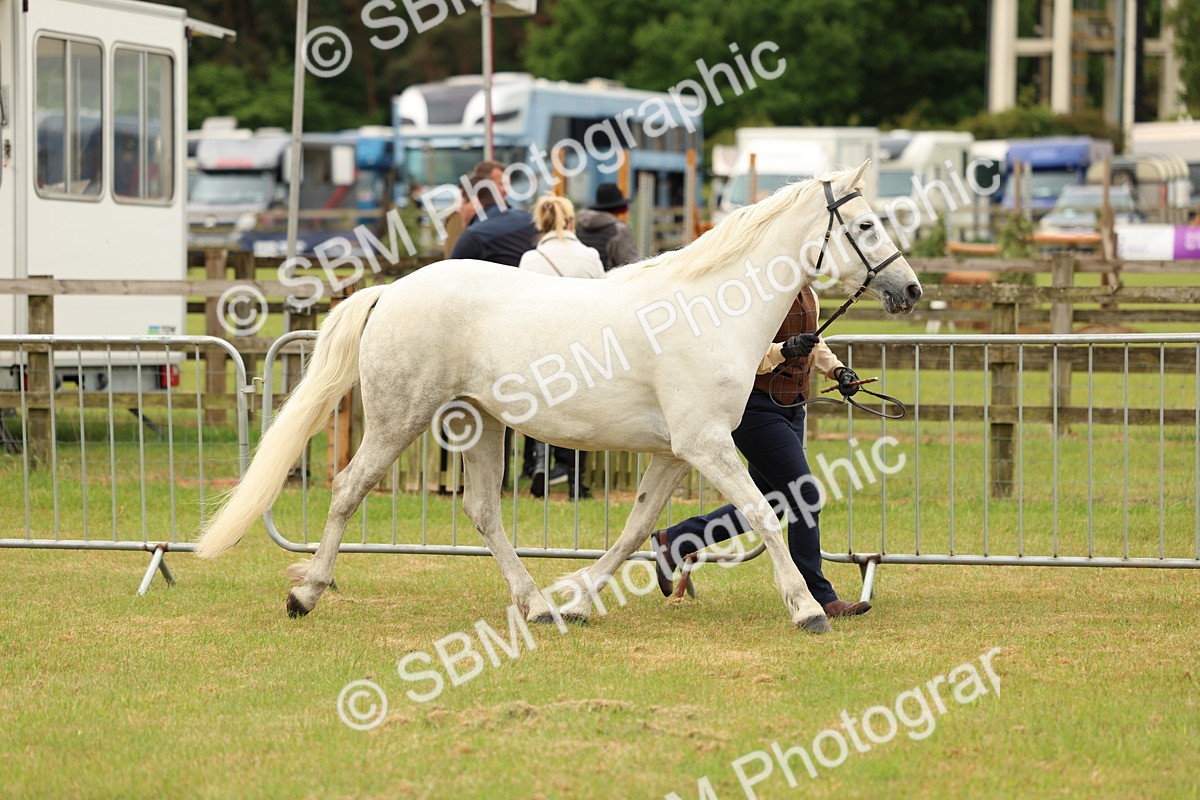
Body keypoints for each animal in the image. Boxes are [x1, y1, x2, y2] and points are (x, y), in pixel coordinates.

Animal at [195, 162, 922, 634]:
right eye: (865, 224)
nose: (911, 290)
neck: (712, 309)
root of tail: (391, 290)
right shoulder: (707, 445)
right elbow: (766, 517)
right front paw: (806, 610)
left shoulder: (676, 453)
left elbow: (635, 529)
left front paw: (577, 599)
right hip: (400, 418)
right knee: (349, 491)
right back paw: (308, 595)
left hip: (479, 423)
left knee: (483, 511)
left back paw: (538, 605)